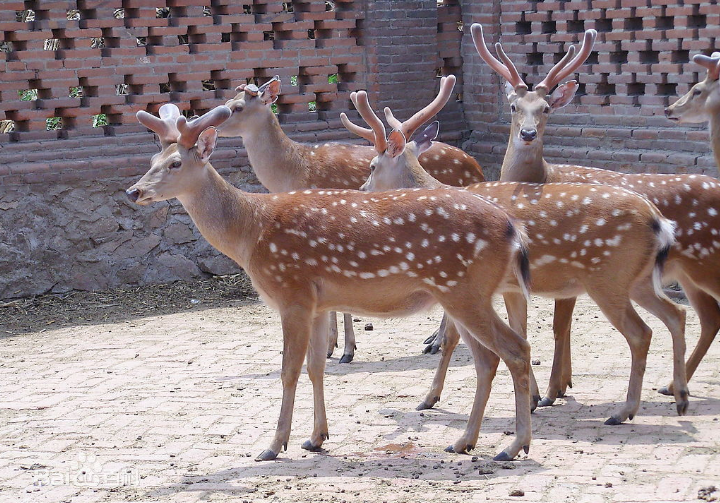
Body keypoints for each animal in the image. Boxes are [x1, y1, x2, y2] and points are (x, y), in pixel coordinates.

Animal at [214, 77, 484, 364]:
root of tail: (476, 167)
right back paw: (433, 339)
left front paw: (344, 349)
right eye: (228, 101)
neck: (293, 171)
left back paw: (436, 341)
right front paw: (332, 345)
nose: (212, 122)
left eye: (238, 107)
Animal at [344, 79, 688, 426]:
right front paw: (533, 398)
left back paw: (625, 410)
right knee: (677, 314)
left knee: (641, 332)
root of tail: (658, 220)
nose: (361, 190)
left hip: (608, 278)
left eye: (372, 166)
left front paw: (429, 398)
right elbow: (516, 331)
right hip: (638, 278)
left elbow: (456, 338)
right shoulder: (497, 287)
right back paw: (679, 395)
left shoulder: (462, 280)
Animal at [472, 25, 720, 408]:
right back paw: (674, 387)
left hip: (703, 263)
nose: (527, 134)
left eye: (546, 108)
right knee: (704, 317)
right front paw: (560, 385)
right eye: (514, 106)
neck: (544, 176)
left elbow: (559, 326)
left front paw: (552, 390)